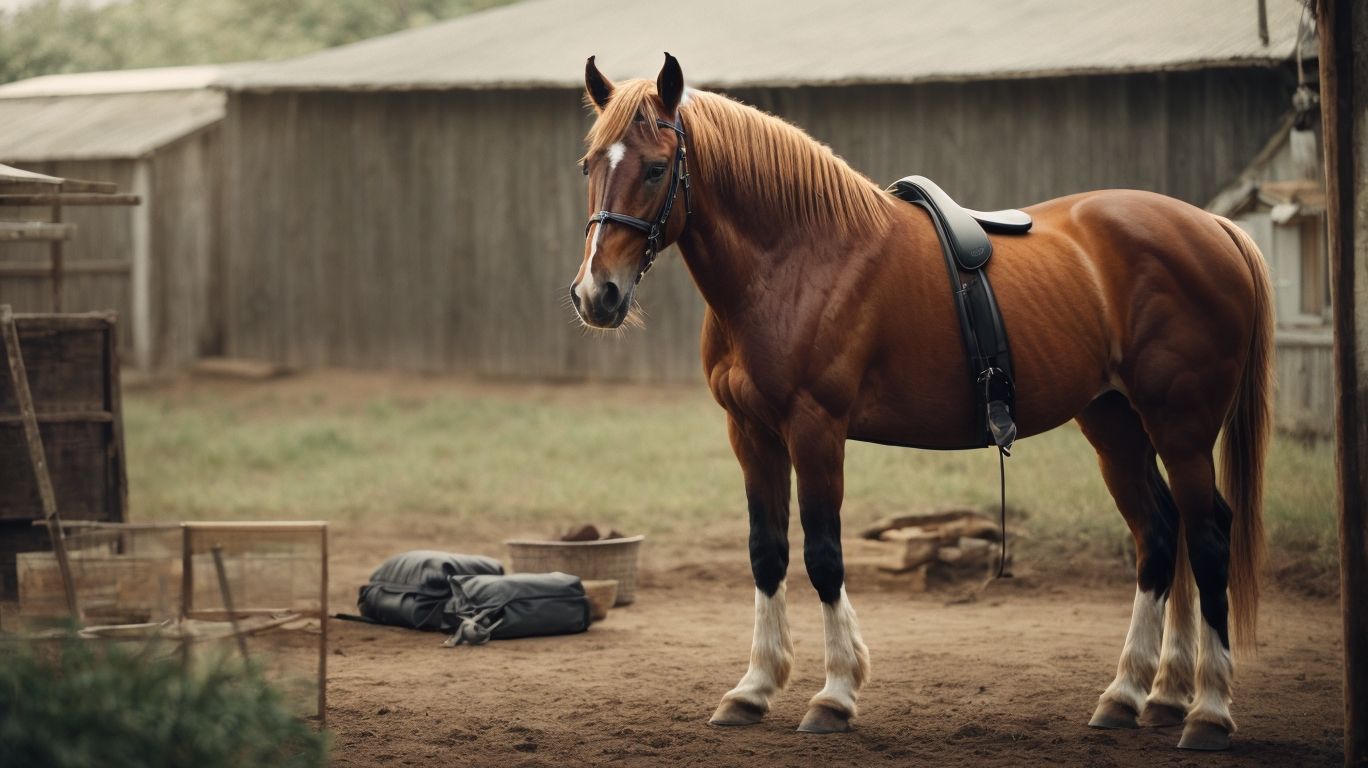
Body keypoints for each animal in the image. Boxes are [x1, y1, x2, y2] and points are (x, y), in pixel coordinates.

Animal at [569, 53, 1271, 752]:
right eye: (589, 165)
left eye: (656, 168)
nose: (596, 294)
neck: (797, 258)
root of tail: (1211, 226)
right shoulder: (752, 432)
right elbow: (766, 552)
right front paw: (754, 687)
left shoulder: (815, 429)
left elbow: (824, 555)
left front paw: (835, 694)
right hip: (1116, 425)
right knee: (1160, 536)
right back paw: (1139, 695)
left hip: (1180, 429)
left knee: (1207, 539)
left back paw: (1207, 710)